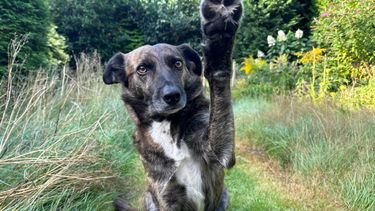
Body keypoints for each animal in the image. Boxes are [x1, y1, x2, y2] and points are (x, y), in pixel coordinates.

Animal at [103, 0, 244, 210]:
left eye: (178, 63)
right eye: (142, 69)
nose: (172, 96)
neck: (166, 124)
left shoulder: (220, 153)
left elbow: (219, 76)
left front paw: (219, 37)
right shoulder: (167, 197)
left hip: (224, 197)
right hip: (148, 197)